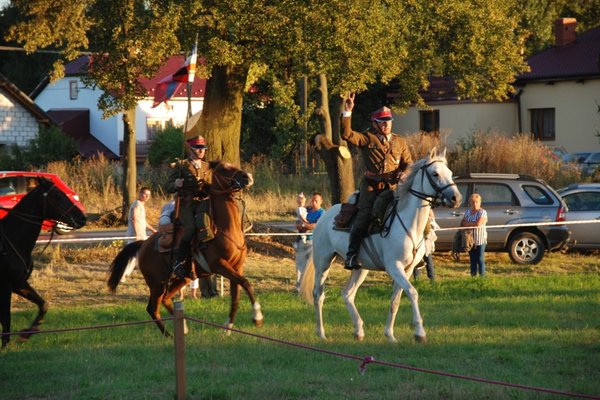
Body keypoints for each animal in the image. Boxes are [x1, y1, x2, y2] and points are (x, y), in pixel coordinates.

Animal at [0, 177, 87, 348]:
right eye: (57, 196)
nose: (82, 218)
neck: (11, 241)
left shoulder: (19, 284)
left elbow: (43, 305)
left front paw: (26, 334)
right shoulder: (5, 287)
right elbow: (6, 318)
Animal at [108, 161, 262, 336]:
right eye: (224, 168)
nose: (248, 177)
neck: (226, 229)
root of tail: (144, 244)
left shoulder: (237, 267)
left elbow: (237, 295)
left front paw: (227, 328)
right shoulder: (220, 265)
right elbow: (246, 283)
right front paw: (257, 317)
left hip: (182, 279)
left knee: (166, 299)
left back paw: (183, 327)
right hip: (157, 283)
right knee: (152, 308)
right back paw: (169, 335)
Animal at [298, 148, 460, 342]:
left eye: (449, 173)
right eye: (435, 173)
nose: (456, 198)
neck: (408, 223)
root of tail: (324, 217)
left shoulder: (407, 269)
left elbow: (396, 300)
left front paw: (390, 334)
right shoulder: (394, 266)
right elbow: (413, 292)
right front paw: (420, 332)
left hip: (360, 268)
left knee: (347, 294)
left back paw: (359, 330)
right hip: (323, 262)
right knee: (318, 295)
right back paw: (321, 333)